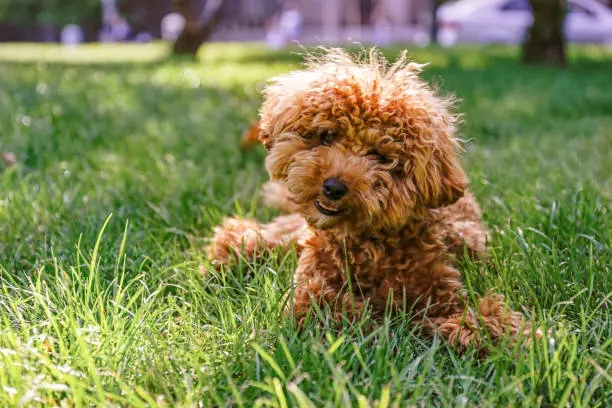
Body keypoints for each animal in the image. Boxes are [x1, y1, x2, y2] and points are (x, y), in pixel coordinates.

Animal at [207, 48, 536, 354]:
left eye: (379, 156)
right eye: (327, 137)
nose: (333, 187)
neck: (369, 244)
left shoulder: (442, 289)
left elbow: (478, 319)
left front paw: (511, 338)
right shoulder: (309, 281)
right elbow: (317, 303)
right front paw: (381, 322)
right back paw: (233, 249)